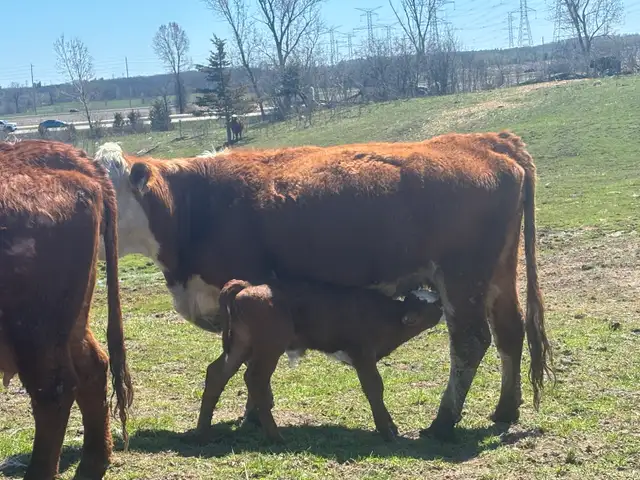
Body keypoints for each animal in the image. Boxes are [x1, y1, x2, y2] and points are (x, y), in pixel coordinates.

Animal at [197, 279, 444, 442]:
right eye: (430, 305)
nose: (442, 302)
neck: (385, 315)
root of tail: (248, 287)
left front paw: (391, 426)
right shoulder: (362, 353)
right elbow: (375, 388)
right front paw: (387, 431)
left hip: (240, 345)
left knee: (217, 373)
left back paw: (202, 432)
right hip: (269, 347)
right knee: (255, 379)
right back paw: (275, 436)